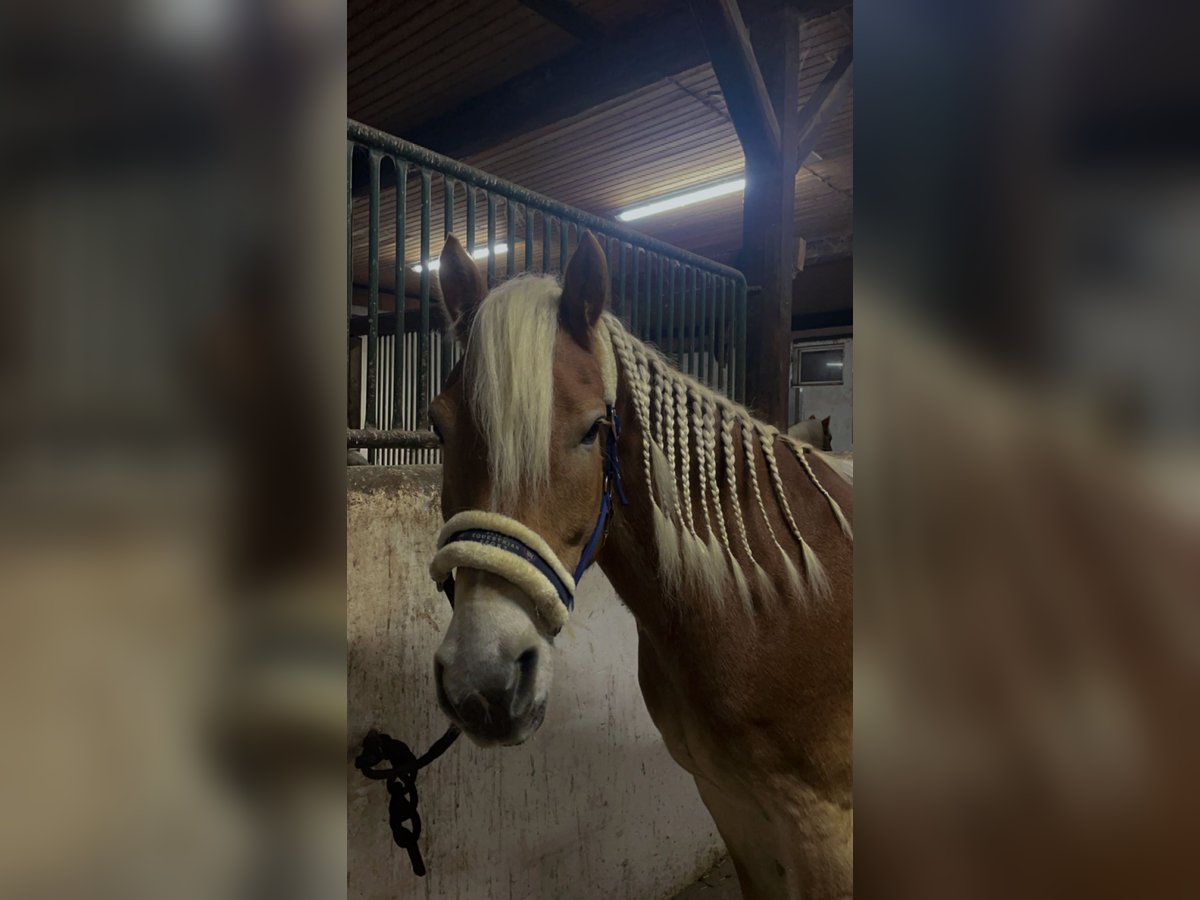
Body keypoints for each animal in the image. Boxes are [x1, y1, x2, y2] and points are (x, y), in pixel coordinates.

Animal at [427, 232, 853, 899]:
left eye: (591, 430)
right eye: (439, 426)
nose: (484, 682)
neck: (775, 603)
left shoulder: (824, 831)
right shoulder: (736, 808)